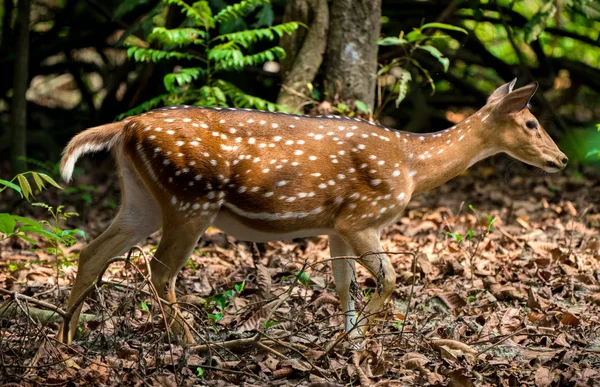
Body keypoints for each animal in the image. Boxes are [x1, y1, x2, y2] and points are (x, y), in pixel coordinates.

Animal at [56, 79, 568, 346]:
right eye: (531, 122)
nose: (562, 159)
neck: (410, 164)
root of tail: (126, 126)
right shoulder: (363, 217)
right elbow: (390, 280)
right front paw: (353, 344)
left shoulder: (337, 225)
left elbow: (343, 286)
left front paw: (346, 343)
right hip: (190, 198)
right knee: (160, 270)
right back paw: (190, 343)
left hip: (142, 198)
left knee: (92, 251)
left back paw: (68, 340)